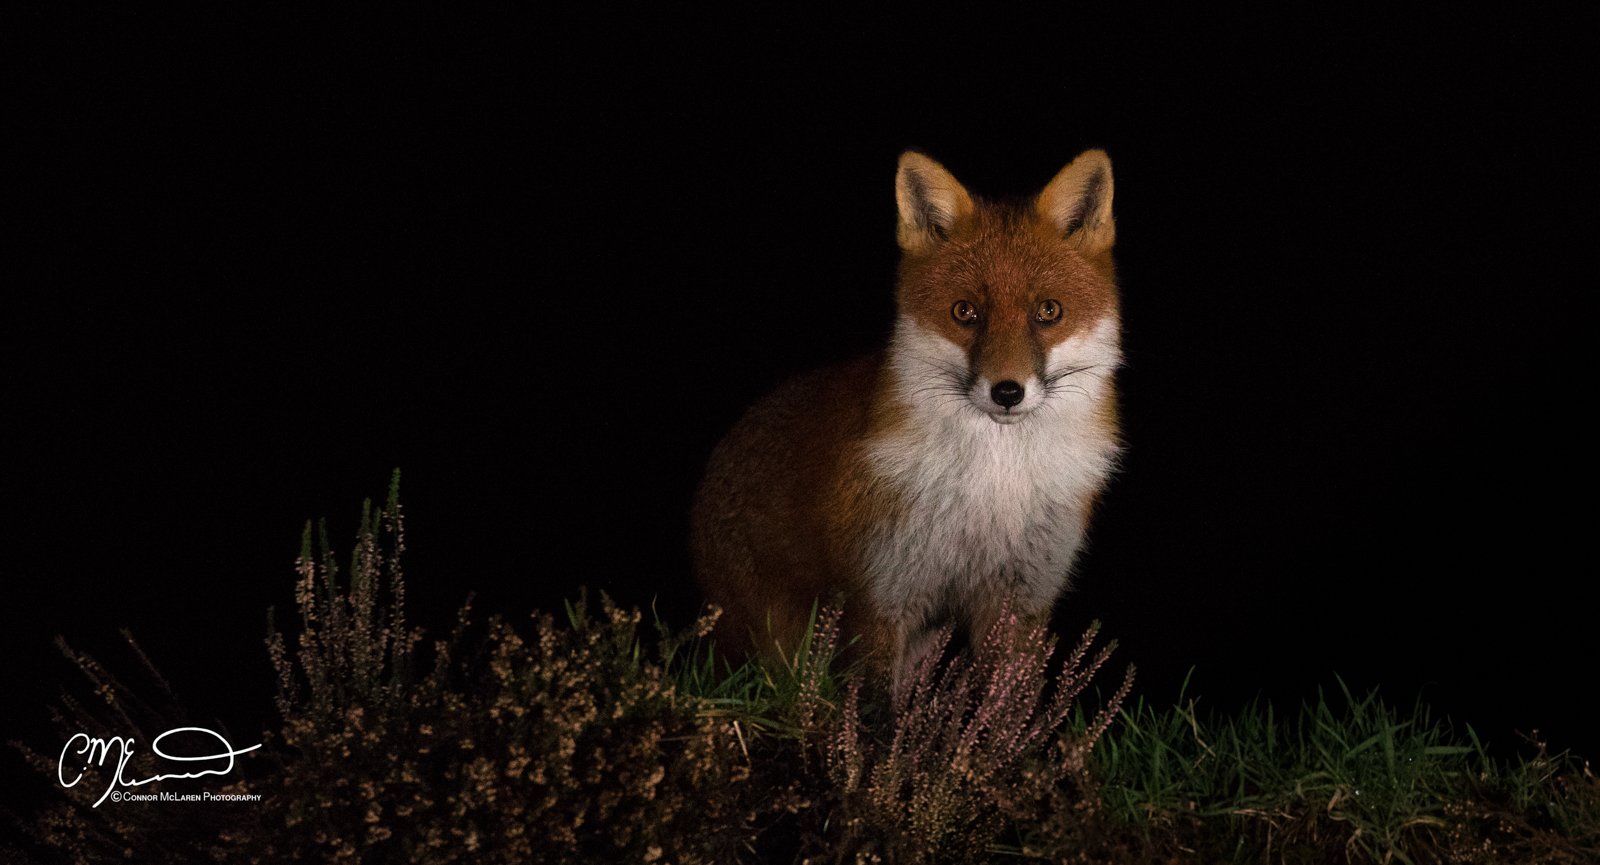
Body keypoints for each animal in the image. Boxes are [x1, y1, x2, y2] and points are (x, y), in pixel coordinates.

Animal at [691, 149, 1122, 686]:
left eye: (1048, 311)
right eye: (965, 312)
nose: (1007, 392)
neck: (993, 489)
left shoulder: (1019, 599)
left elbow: (1006, 703)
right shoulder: (879, 594)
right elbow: (874, 706)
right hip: (780, 647)